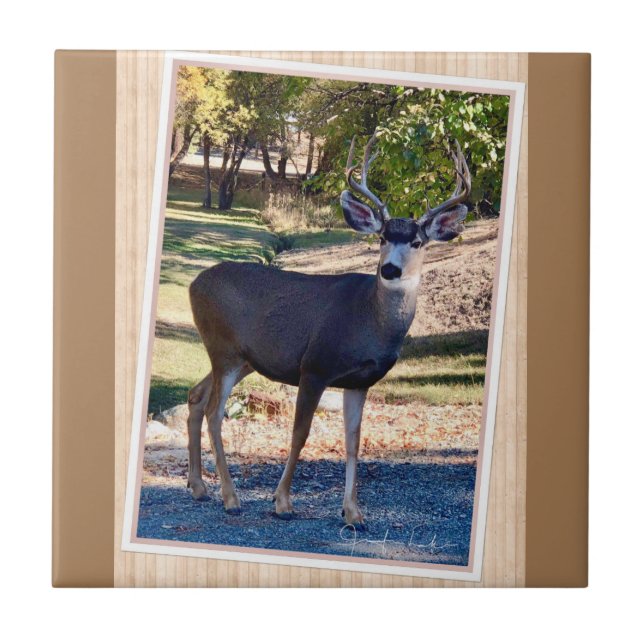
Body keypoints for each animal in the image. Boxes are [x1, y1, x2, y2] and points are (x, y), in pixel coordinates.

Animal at [185, 133, 471, 530]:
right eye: (382, 237)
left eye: (417, 242)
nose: (390, 270)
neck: (369, 322)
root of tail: (192, 285)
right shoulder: (315, 366)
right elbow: (299, 434)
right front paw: (282, 502)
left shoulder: (360, 382)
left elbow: (353, 442)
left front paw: (353, 512)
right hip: (223, 348)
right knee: (214, 412)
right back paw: (231, 498)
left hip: (240, 358)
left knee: (195, 397)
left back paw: (199, 487)